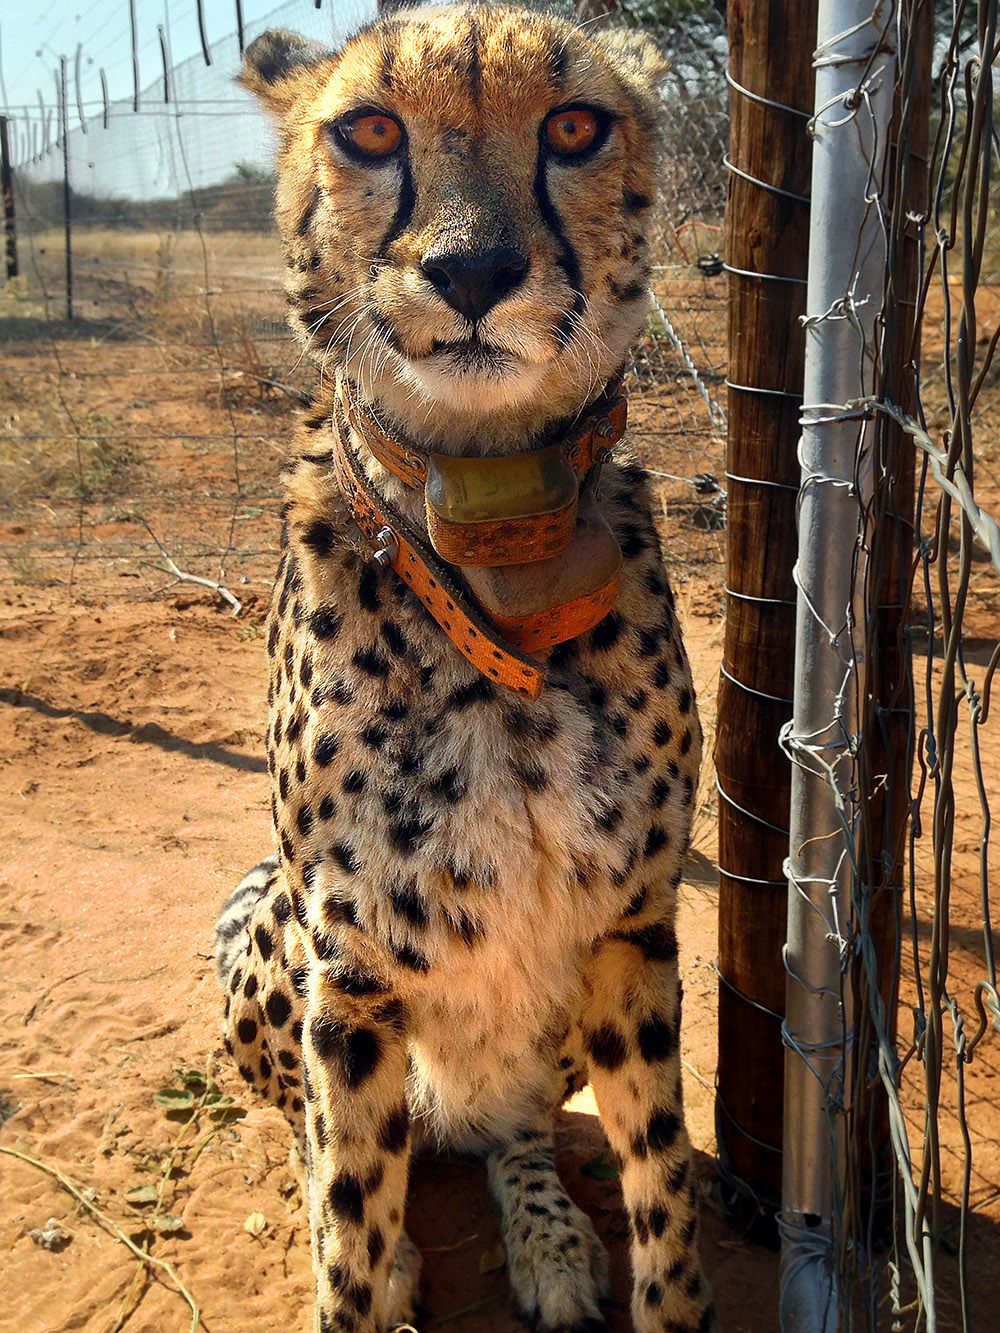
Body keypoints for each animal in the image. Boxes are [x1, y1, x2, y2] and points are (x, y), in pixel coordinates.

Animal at [217, 10, 720, 1333]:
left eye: (576, 126)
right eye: (368, 130)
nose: (474, 269)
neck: (495, 540)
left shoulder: (634, 924)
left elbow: (664, 1195)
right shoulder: (347, 960)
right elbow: (346, 1226)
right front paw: (360, 1262)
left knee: (515, 1129)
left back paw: (545, 1234)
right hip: (265, 921)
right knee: (328, 1137)